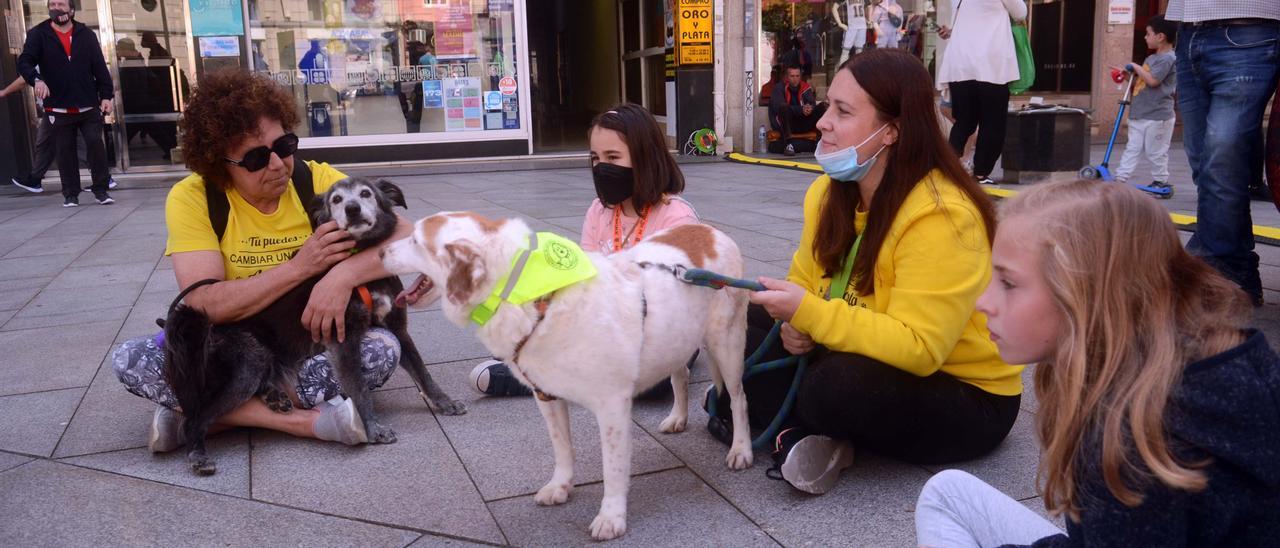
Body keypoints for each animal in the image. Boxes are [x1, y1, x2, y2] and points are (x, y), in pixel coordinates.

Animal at [376, 212, 747, 540]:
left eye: (415, 239)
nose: (379, 252)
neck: (532, 294)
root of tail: (711, 231)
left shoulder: (613, 407)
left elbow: (613, 469)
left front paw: (611, 517)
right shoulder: (546, 396)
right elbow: (562, 448)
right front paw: (561, 486)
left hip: (726, 342)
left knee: (738, 398)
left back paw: (741, 449)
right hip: (677, 339)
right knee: (680, 376)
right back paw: (677, 417)